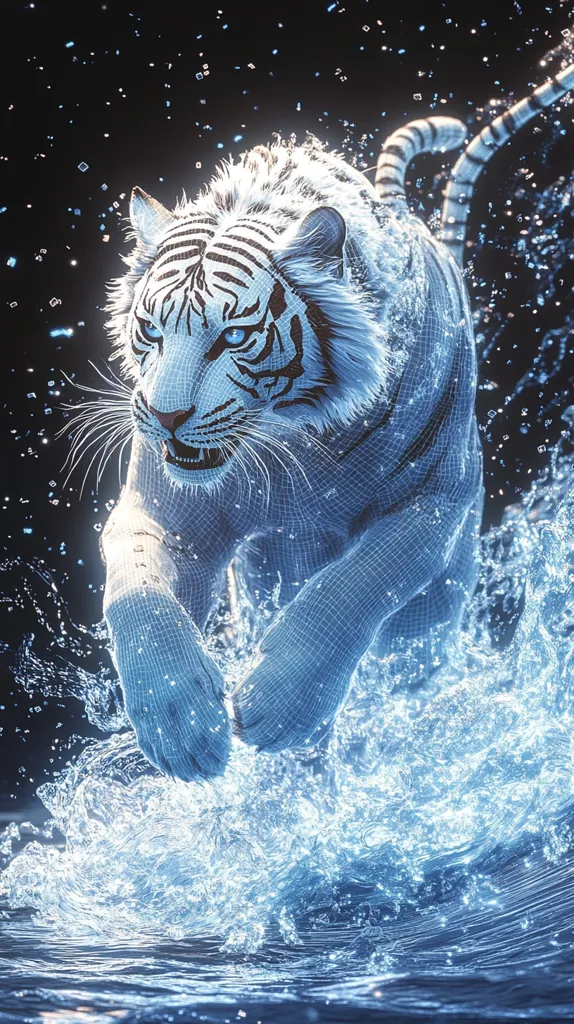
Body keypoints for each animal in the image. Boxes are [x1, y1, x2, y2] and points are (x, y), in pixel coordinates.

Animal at [99, 63, 574, 781]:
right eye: (152, 330)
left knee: (406, 672)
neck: (293, 439)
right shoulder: (167, 509)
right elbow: (134, 592)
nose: (163, 416)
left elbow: (353, 586)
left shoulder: (432, 502)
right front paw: (181, 726)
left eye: (232, 336)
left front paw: (278, 705)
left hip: (441, 597)